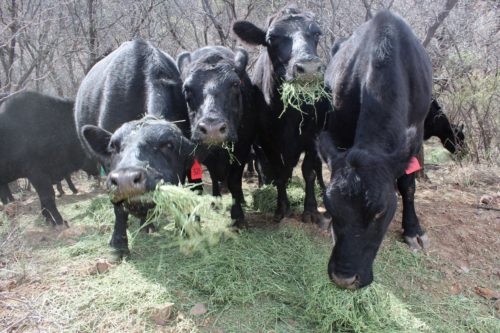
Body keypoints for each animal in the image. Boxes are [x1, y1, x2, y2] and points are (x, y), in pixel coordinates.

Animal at [75, 39, 193, 256]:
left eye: (168, 145)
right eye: (113, 146)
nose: (126, 180)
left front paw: (183, 229)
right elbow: (118, 208)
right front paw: (119, 244)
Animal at [232, 4, 330, 223]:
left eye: (317, 33)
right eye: (272, 38)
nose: (309, 69)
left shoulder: (313, 136)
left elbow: (308, 171)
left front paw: (310, 209)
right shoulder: (267, 141)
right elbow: (278, 173)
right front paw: (281, 208)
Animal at [320, 11, 434, 288]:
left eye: (380, 211)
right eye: (330, 205)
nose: (344, 278)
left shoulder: (416, 134)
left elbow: (408, 185)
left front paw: (413, 230)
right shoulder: (339, 130)